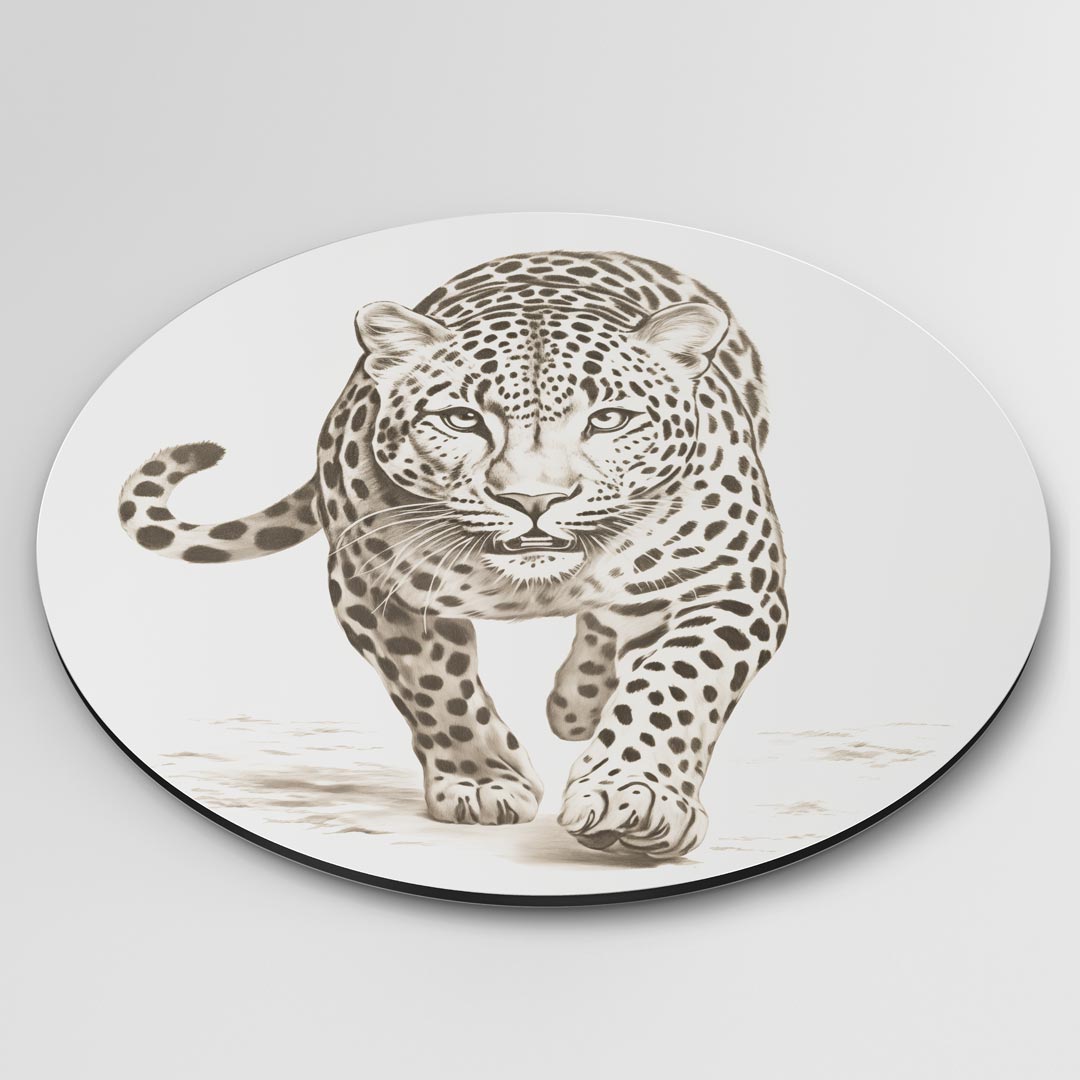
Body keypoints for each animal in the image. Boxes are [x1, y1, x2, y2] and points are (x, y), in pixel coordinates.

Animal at [118, 250, 788, 859]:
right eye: (462, 418)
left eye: (610, 419)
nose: (534, 500)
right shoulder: (372, 587)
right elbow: (436, 689)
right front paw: (484, 784)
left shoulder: (733, 585)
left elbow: (675, 683)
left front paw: (634, 797)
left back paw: (579, 704)